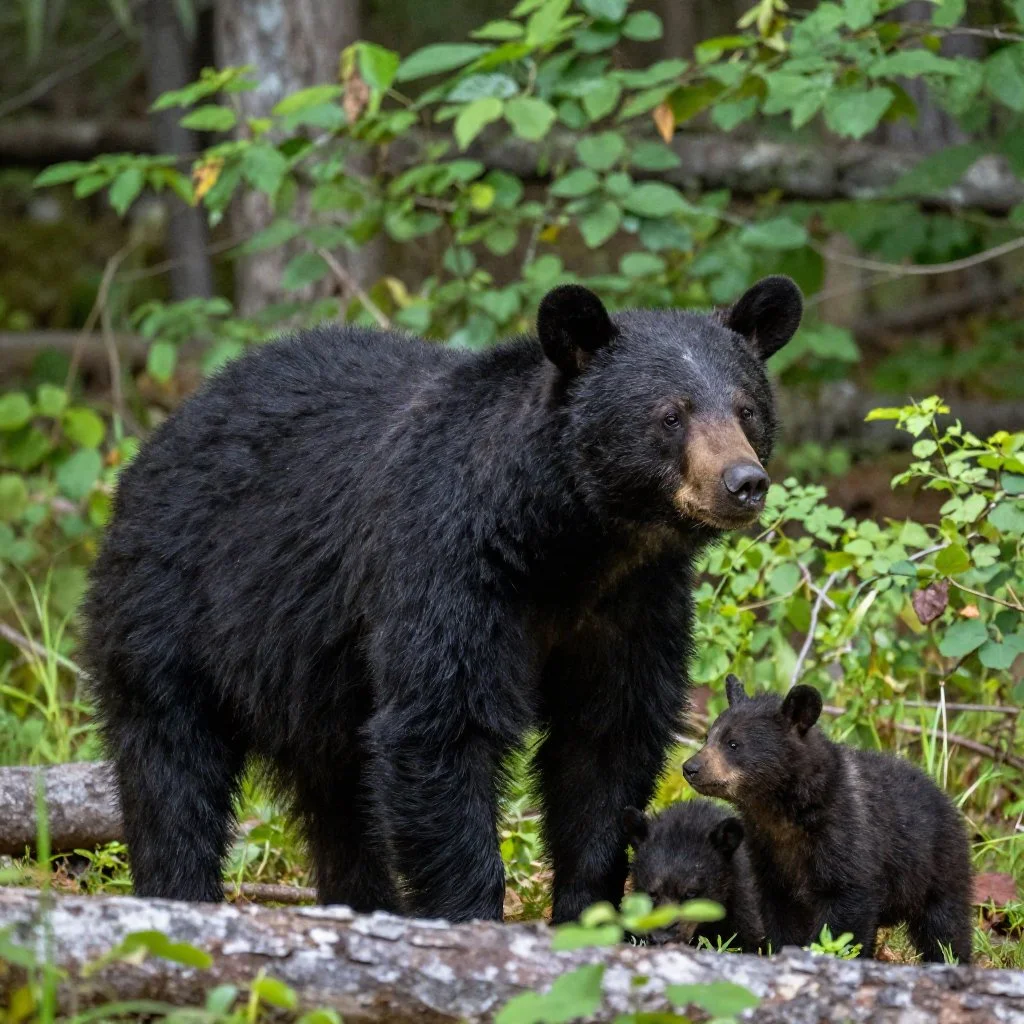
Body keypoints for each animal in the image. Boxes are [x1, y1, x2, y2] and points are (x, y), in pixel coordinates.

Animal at [81, 276, 802, 924]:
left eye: (746, 408)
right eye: (670, 415)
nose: (743, 482)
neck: (571, 545)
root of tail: (164, 433)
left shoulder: (633, 607)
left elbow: (605, 741)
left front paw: (585, 912)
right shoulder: (448, 567)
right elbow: (442, 724)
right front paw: (472, 917)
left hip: (312, 681)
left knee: (339, 796)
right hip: (175, 605)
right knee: (171, 763)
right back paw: (180, 892)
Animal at [682, 675, 974, 962]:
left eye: (734, 743)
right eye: (708, 737)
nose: (690, 768)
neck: (784, 815)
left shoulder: (846, 838)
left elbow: (845, 909)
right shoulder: (769, 857)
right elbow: (780, 913)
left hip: (937, 868)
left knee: (945, 927)